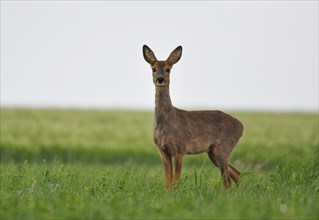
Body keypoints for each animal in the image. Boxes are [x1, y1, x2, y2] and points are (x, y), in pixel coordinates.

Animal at [143, 44, 245, 191]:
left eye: (168, 69)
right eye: (153, 69)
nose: (160, 79)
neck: (167, 121)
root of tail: (242, 126)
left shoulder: (180, 148)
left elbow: (176, 181)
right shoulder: (162, 150)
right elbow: (167, 182)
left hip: (223, 147)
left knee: (227, 180)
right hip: (212, 152)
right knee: (236, 174)